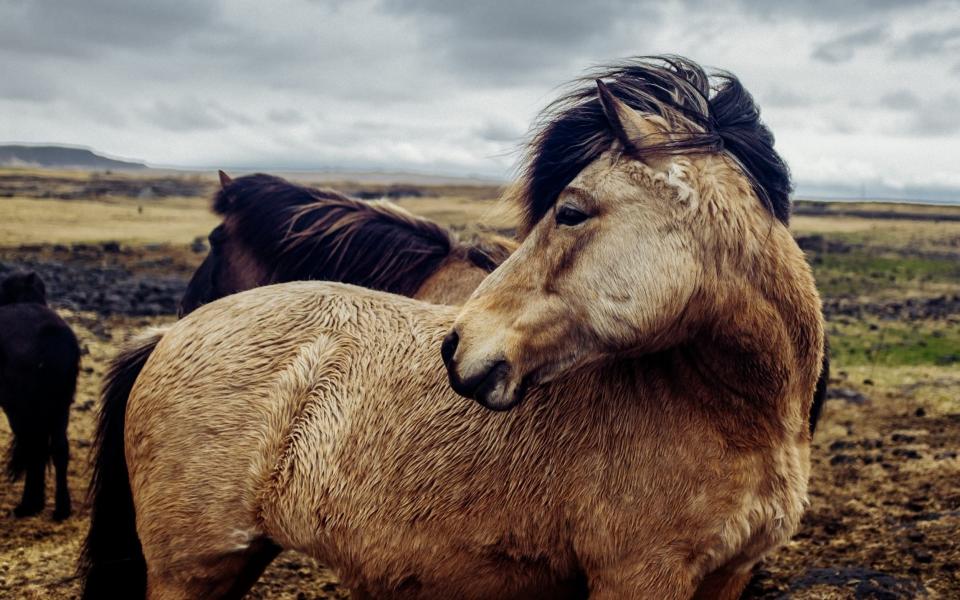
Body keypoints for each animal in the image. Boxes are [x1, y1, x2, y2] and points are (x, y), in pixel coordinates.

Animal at [0, 272, 79, 520]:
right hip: (60, 405)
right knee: (58, 448)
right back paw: (61, 508)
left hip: (20, 407)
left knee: (33, 445)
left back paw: (28, 504)